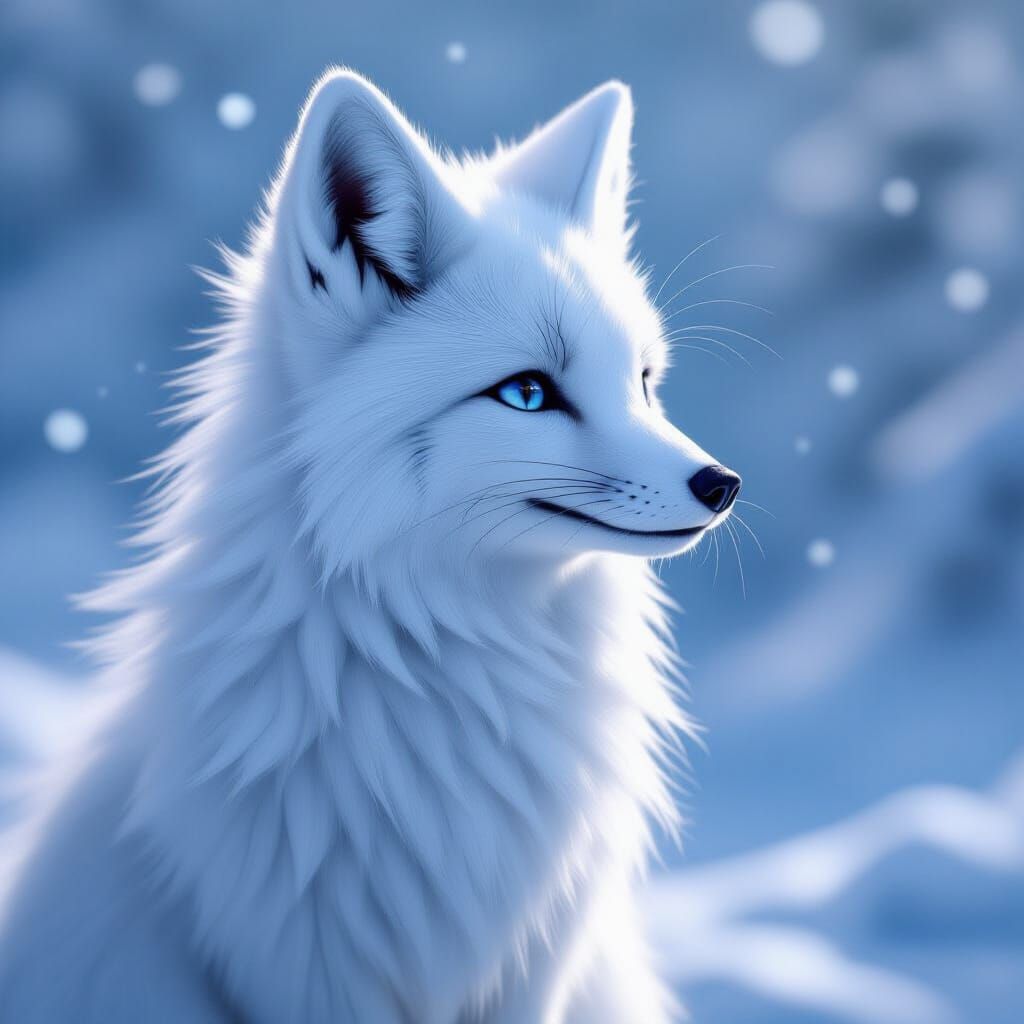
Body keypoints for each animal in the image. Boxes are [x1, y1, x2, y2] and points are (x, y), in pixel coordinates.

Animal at [0, 70, 741, 1023]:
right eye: (529, 394)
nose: (721, 484)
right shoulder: (299, 966)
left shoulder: (535, 963)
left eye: (643, 383)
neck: (457, 665)